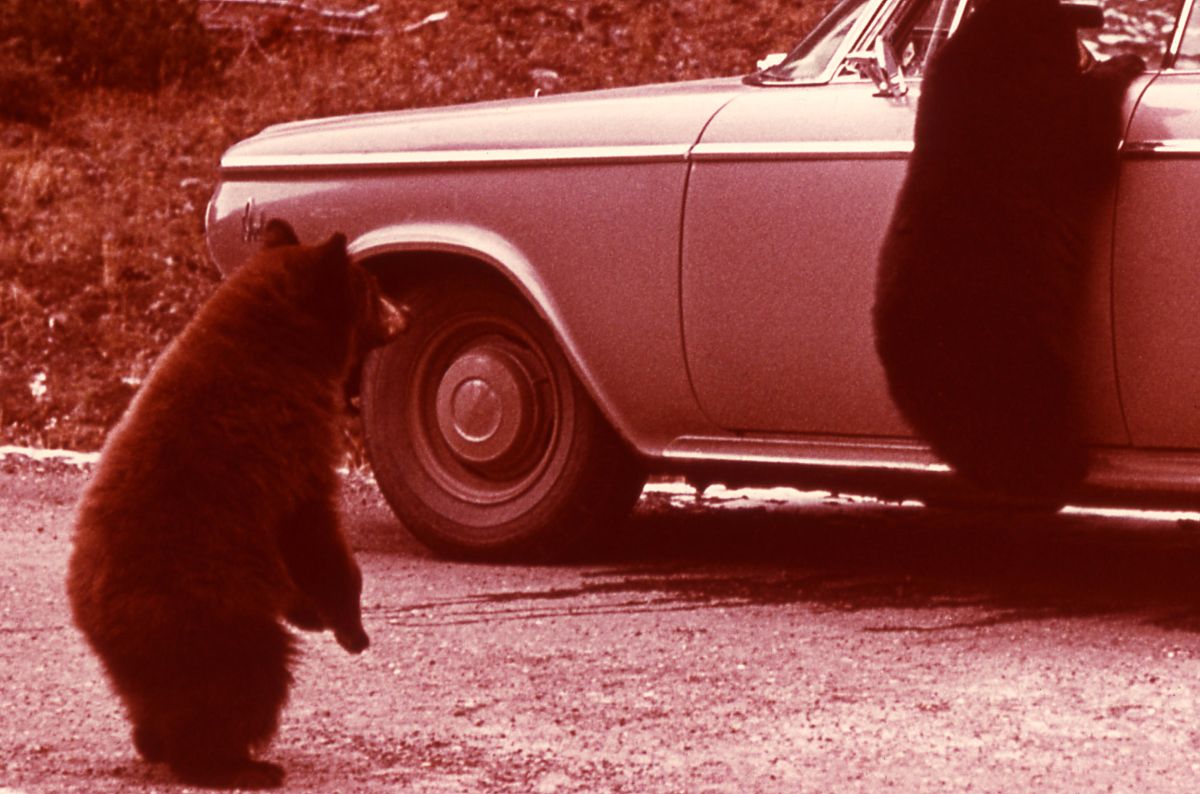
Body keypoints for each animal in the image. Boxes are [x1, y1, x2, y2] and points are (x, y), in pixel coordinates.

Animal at [66, 219, 393, 789]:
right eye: (371, 289)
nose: (403, 312)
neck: (283, 348)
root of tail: (94, 619)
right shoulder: (289, 444)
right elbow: (313, 532)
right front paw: (349, 626)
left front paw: (319, 616)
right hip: (211, 614)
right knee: (248, 677)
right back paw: (235, 762)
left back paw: (156, 740)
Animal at [872, 0, 1144, 503]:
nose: (1098, 21)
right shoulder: (1023, 111)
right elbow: (1085, 139)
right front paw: (1124, 63)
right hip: (1006, 358)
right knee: (1026, 433)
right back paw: (1062, 472)